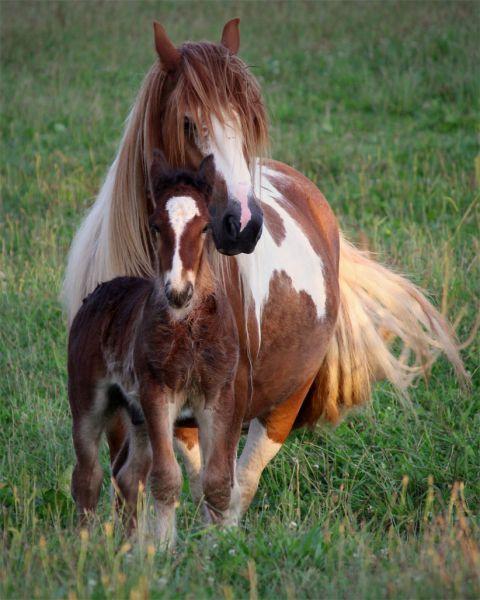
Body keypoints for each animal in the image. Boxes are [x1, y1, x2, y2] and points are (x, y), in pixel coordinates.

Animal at [68, 152, 240, 548]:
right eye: (156, 226)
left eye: (205, 228)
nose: (178, 291)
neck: (188, 328)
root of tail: (100, 291)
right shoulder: (158, 393)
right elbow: (167, 479)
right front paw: (162, 550)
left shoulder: (218, 396)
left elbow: (216, 482)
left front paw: (221, 548)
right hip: (89, 402)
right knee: (88, 475)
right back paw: (84, 547)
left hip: (138, 416)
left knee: (128, 476)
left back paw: (129, 546)